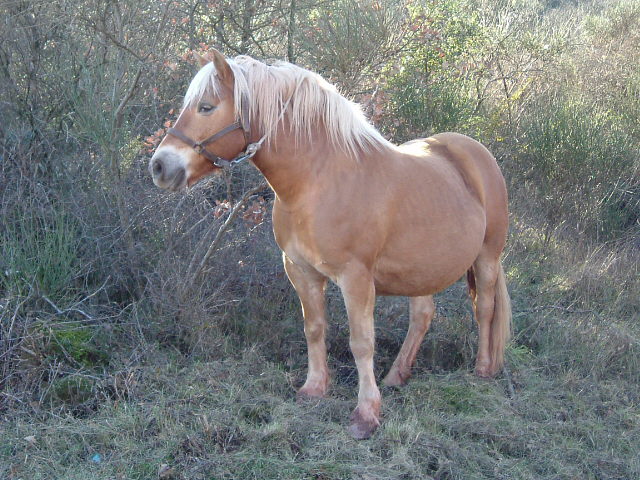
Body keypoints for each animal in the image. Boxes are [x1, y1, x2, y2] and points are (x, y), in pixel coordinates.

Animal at [149, 48, 510, 438]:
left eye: (206, 107)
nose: (159, 167)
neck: (317, 182)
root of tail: (474, 152)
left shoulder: (356, 278)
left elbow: (361, 342)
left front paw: (366, 415)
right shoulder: (300, 271)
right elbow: (314, 329)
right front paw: (314, 389)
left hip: (487, 258)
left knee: (485, 309)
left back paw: (482, 370)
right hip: (419, 269)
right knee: (423, 315)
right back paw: (397, 376)